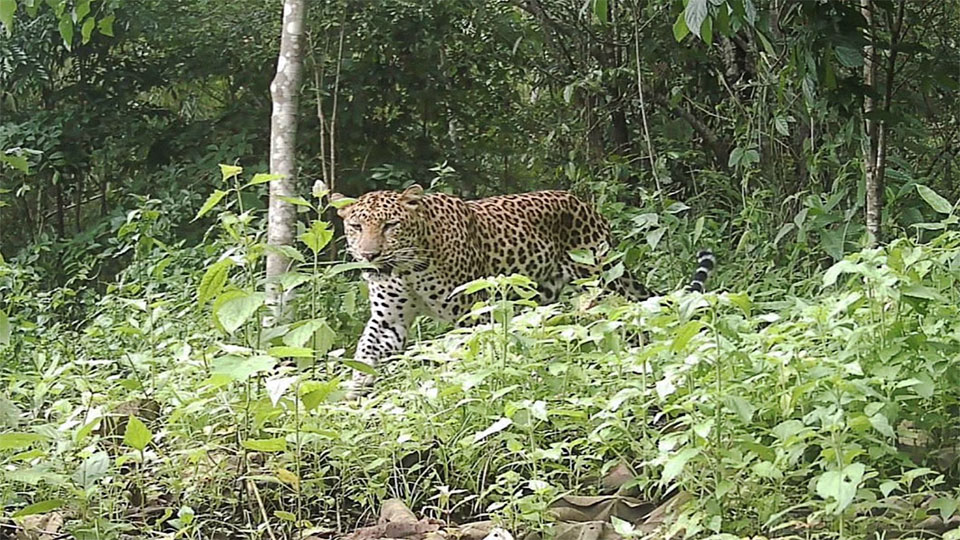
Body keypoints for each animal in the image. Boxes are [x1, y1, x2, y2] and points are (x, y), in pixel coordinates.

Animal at [332, 184, 715, 395]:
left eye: (390, 225)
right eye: (356, 226)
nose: (369, 255)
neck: (407, 268)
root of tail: (587, 206)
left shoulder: (471, 313)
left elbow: (465, 357)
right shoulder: (388, 321)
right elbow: (365, 355)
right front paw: (352, 398)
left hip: (602, 282)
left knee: (625, 318)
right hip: (538, 296)